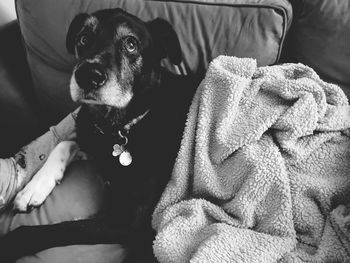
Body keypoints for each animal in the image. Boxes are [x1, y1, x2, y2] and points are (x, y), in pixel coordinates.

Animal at [0, 8, 198, 263]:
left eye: (131, 44)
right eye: (83, 38)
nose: (87, 75)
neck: (117, 128)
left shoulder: (126, 220)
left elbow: (62, 229)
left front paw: (10, 243)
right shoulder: (93, 140)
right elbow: (65, 143)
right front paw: (33, 189)